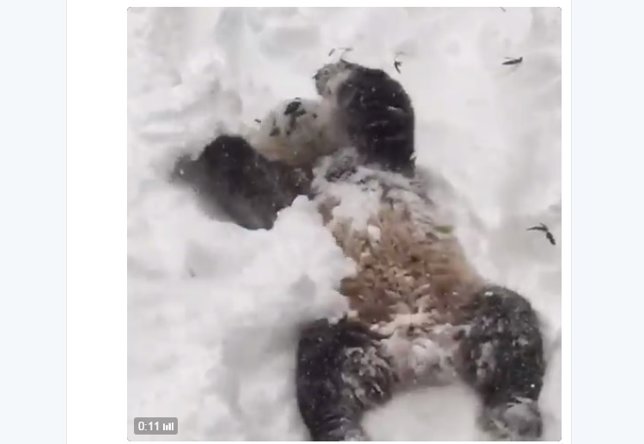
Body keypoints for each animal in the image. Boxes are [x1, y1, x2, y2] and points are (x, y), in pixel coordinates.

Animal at [172, 59, 546, 441]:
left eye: (297, 104)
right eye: (274, 123)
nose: (292, 107)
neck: (320, 158)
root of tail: (421, 355)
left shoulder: (381, 158)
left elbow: (387, 108)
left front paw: (332, 73)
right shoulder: (288, 195)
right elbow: (251, 188)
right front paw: (210, 144)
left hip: (465, 306)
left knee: (513, 333)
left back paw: (513, 414)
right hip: (350, 330)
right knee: (322, 377)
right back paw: (343, 430)